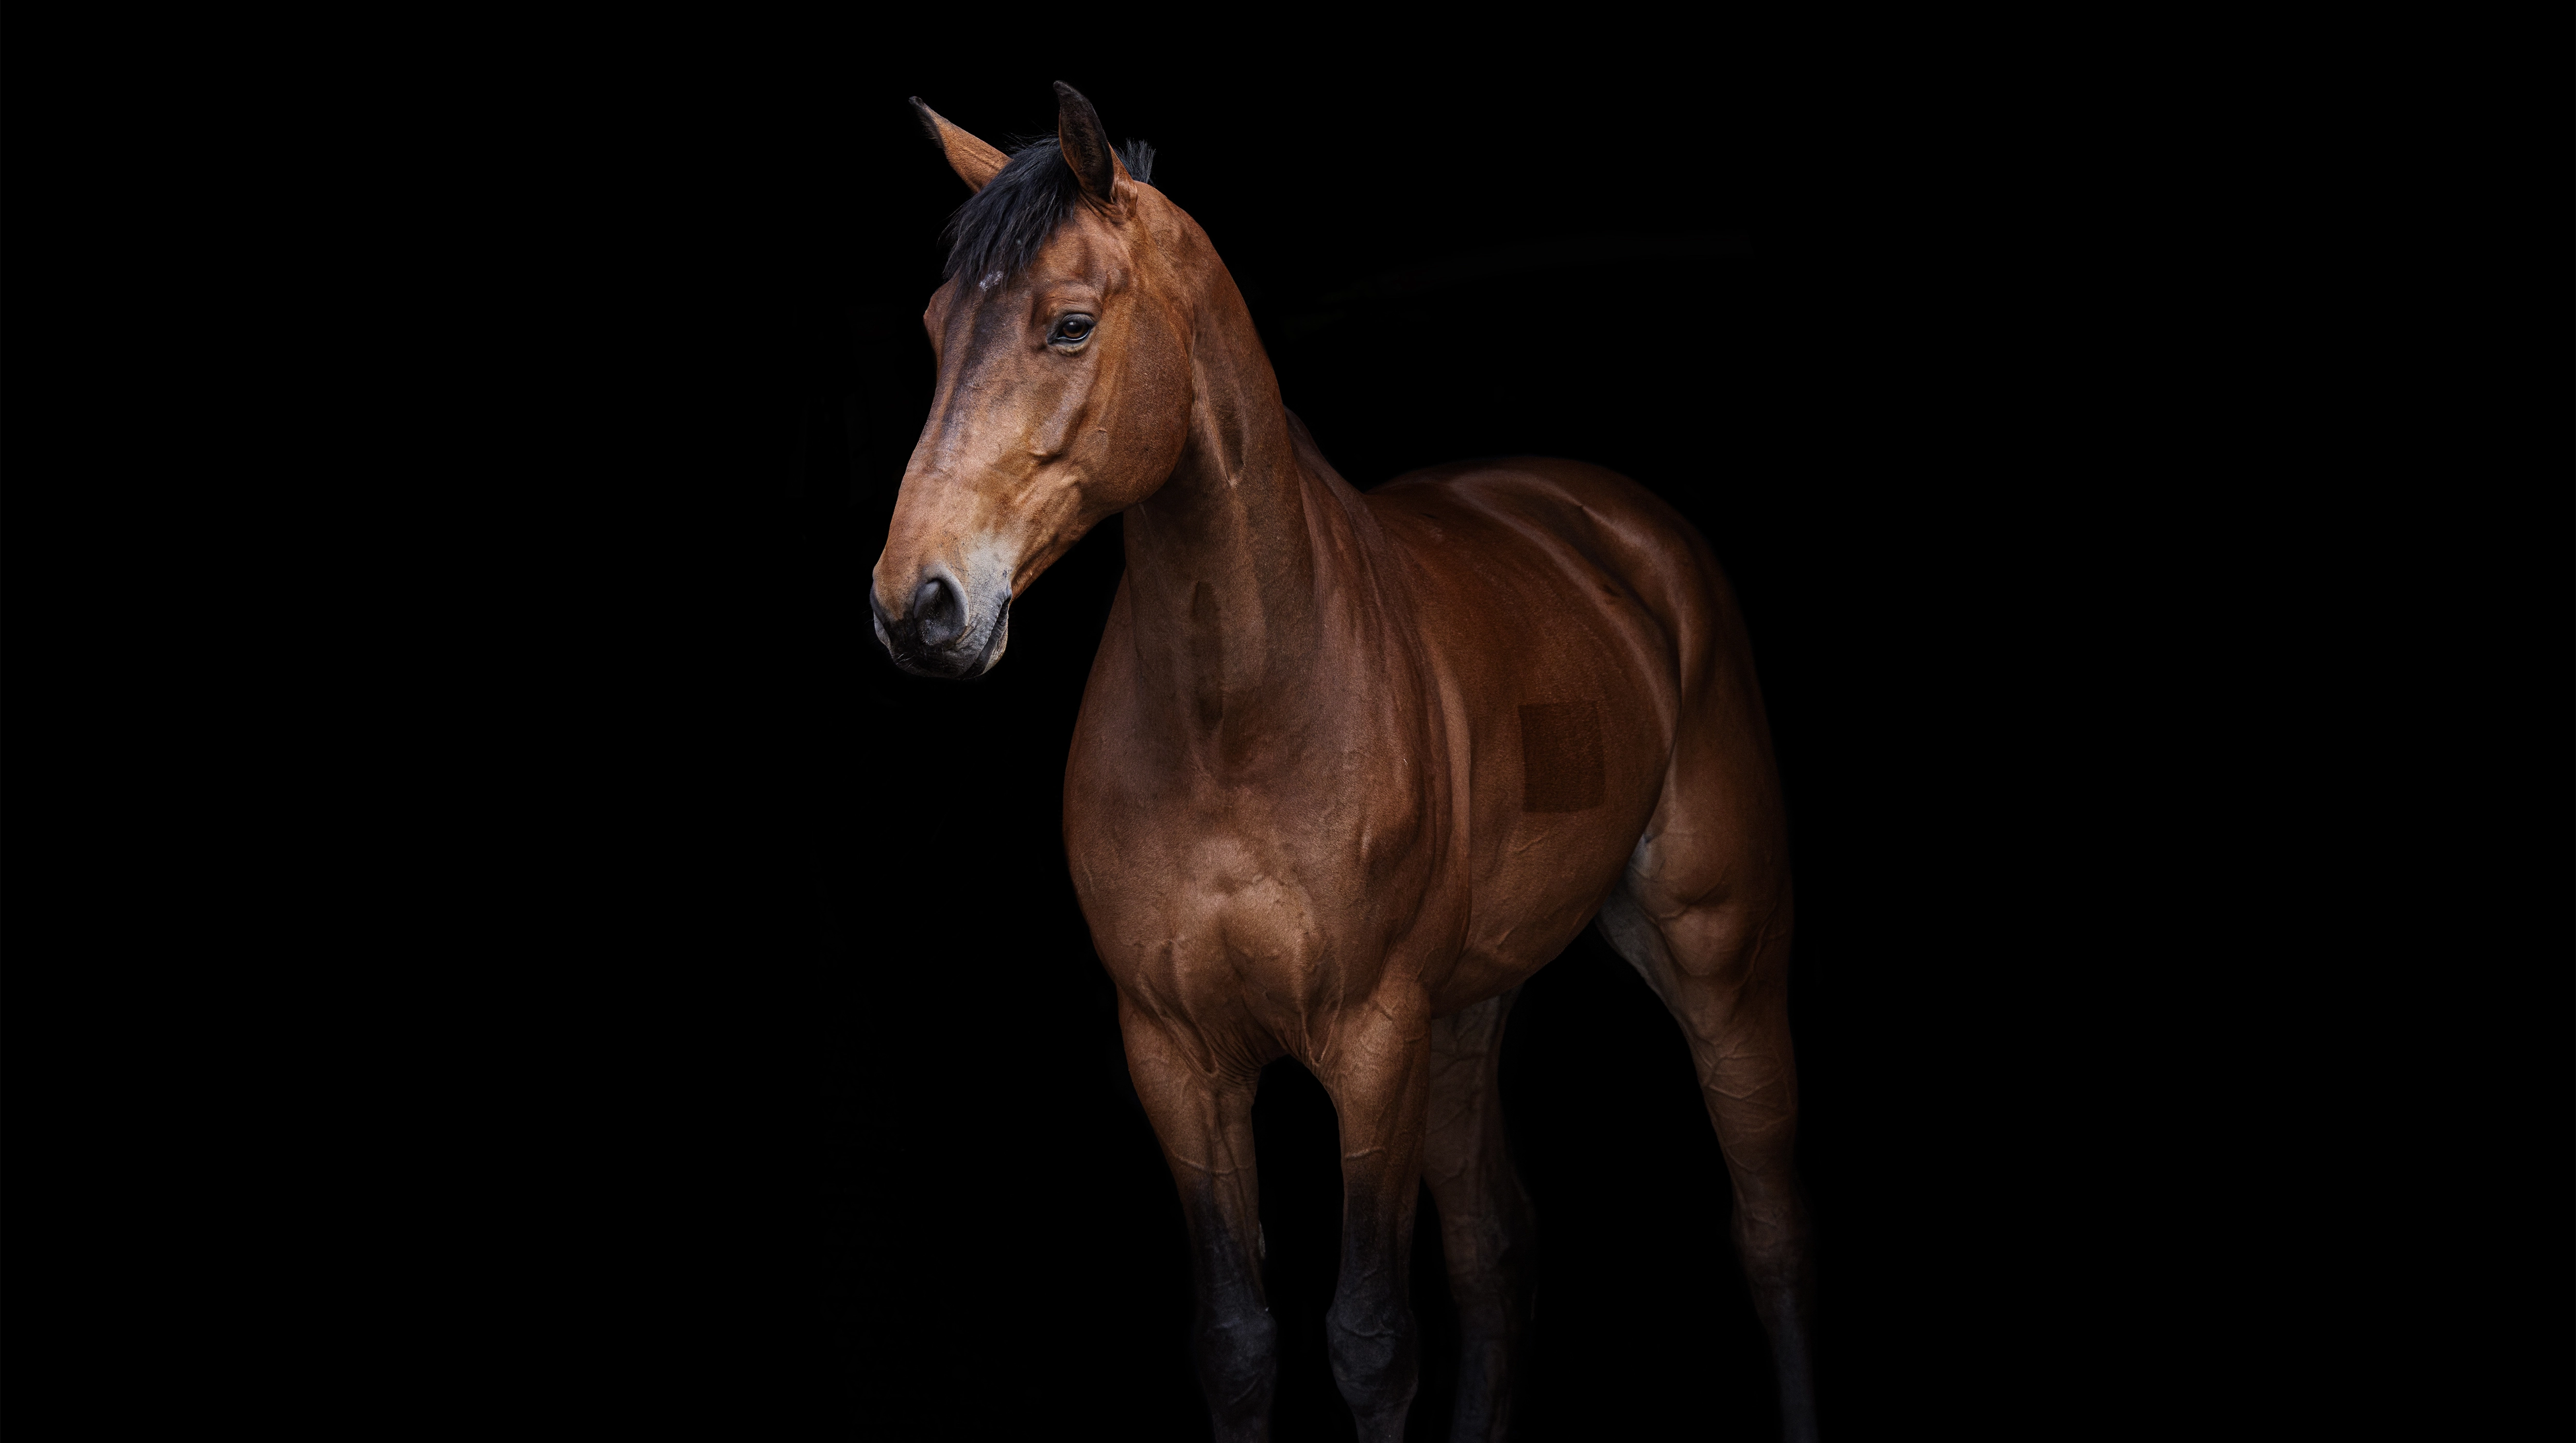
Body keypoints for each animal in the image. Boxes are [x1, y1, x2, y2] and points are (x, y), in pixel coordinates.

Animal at [871, 82, 1818, 1443]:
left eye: (1068, 324)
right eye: (938, 327)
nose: (919, 606)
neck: (1238, 716)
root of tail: (1615, 524)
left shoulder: (1369, 1042)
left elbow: (1370, 1338)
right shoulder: (1177, 1052)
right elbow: (1236, 1340)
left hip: (1716, 957)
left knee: (1769, 1230)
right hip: (1467, 1014)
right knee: (1496, 1249)